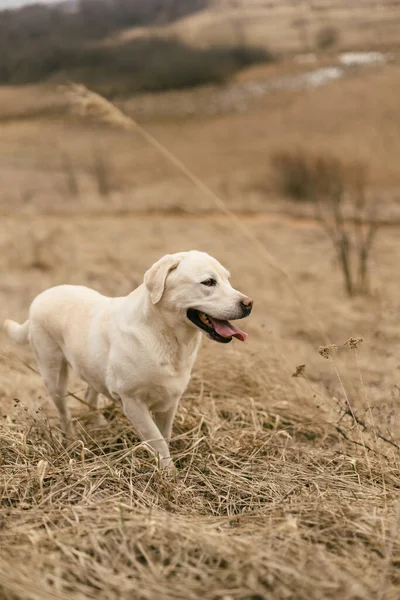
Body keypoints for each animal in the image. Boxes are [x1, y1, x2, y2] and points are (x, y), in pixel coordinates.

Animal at [3, 248, 252, 468]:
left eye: (228, 280)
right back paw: (72, 440)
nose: (248, 304)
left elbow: (164, 435)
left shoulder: (169, 403)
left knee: (90, 394)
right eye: (209, 282)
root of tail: (41, 297)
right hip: (53, 374)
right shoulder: (133, 402)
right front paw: (169, 474)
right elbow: (158, 441)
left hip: (92, 367)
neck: (165, 336)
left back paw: (99, 425)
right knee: (64, 411)